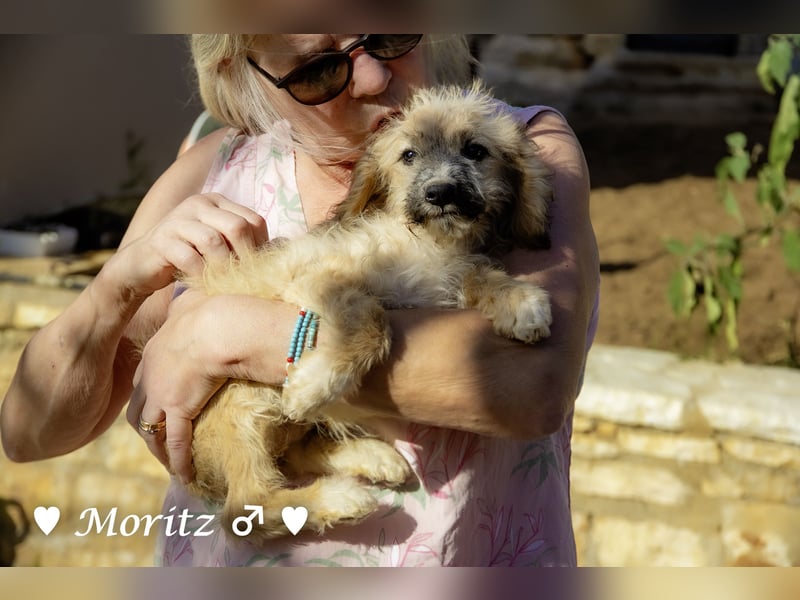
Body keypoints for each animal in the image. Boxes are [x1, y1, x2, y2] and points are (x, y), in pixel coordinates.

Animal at [184, 82, 552, 540]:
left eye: (475, 151)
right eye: (408, 155)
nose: (440, 193)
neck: (428, 245)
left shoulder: (444, 277)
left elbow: (477, 275)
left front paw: (519, 300)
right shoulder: (317, 278)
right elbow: (371, 319)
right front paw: (314, 385)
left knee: (293, 454)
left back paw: (373, 459)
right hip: (241, 402)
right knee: (244, 508)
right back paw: (338, 498)